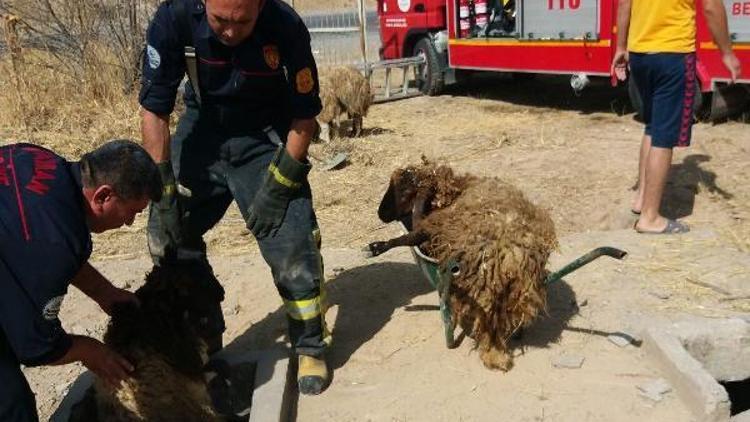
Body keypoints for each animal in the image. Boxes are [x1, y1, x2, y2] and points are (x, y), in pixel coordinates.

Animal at [366, 160, 560, 370]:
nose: (380, 214)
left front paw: (377, 247)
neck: (455, 188)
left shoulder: (433, 226)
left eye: (402, 190)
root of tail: (510, 255)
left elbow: (409, 236)